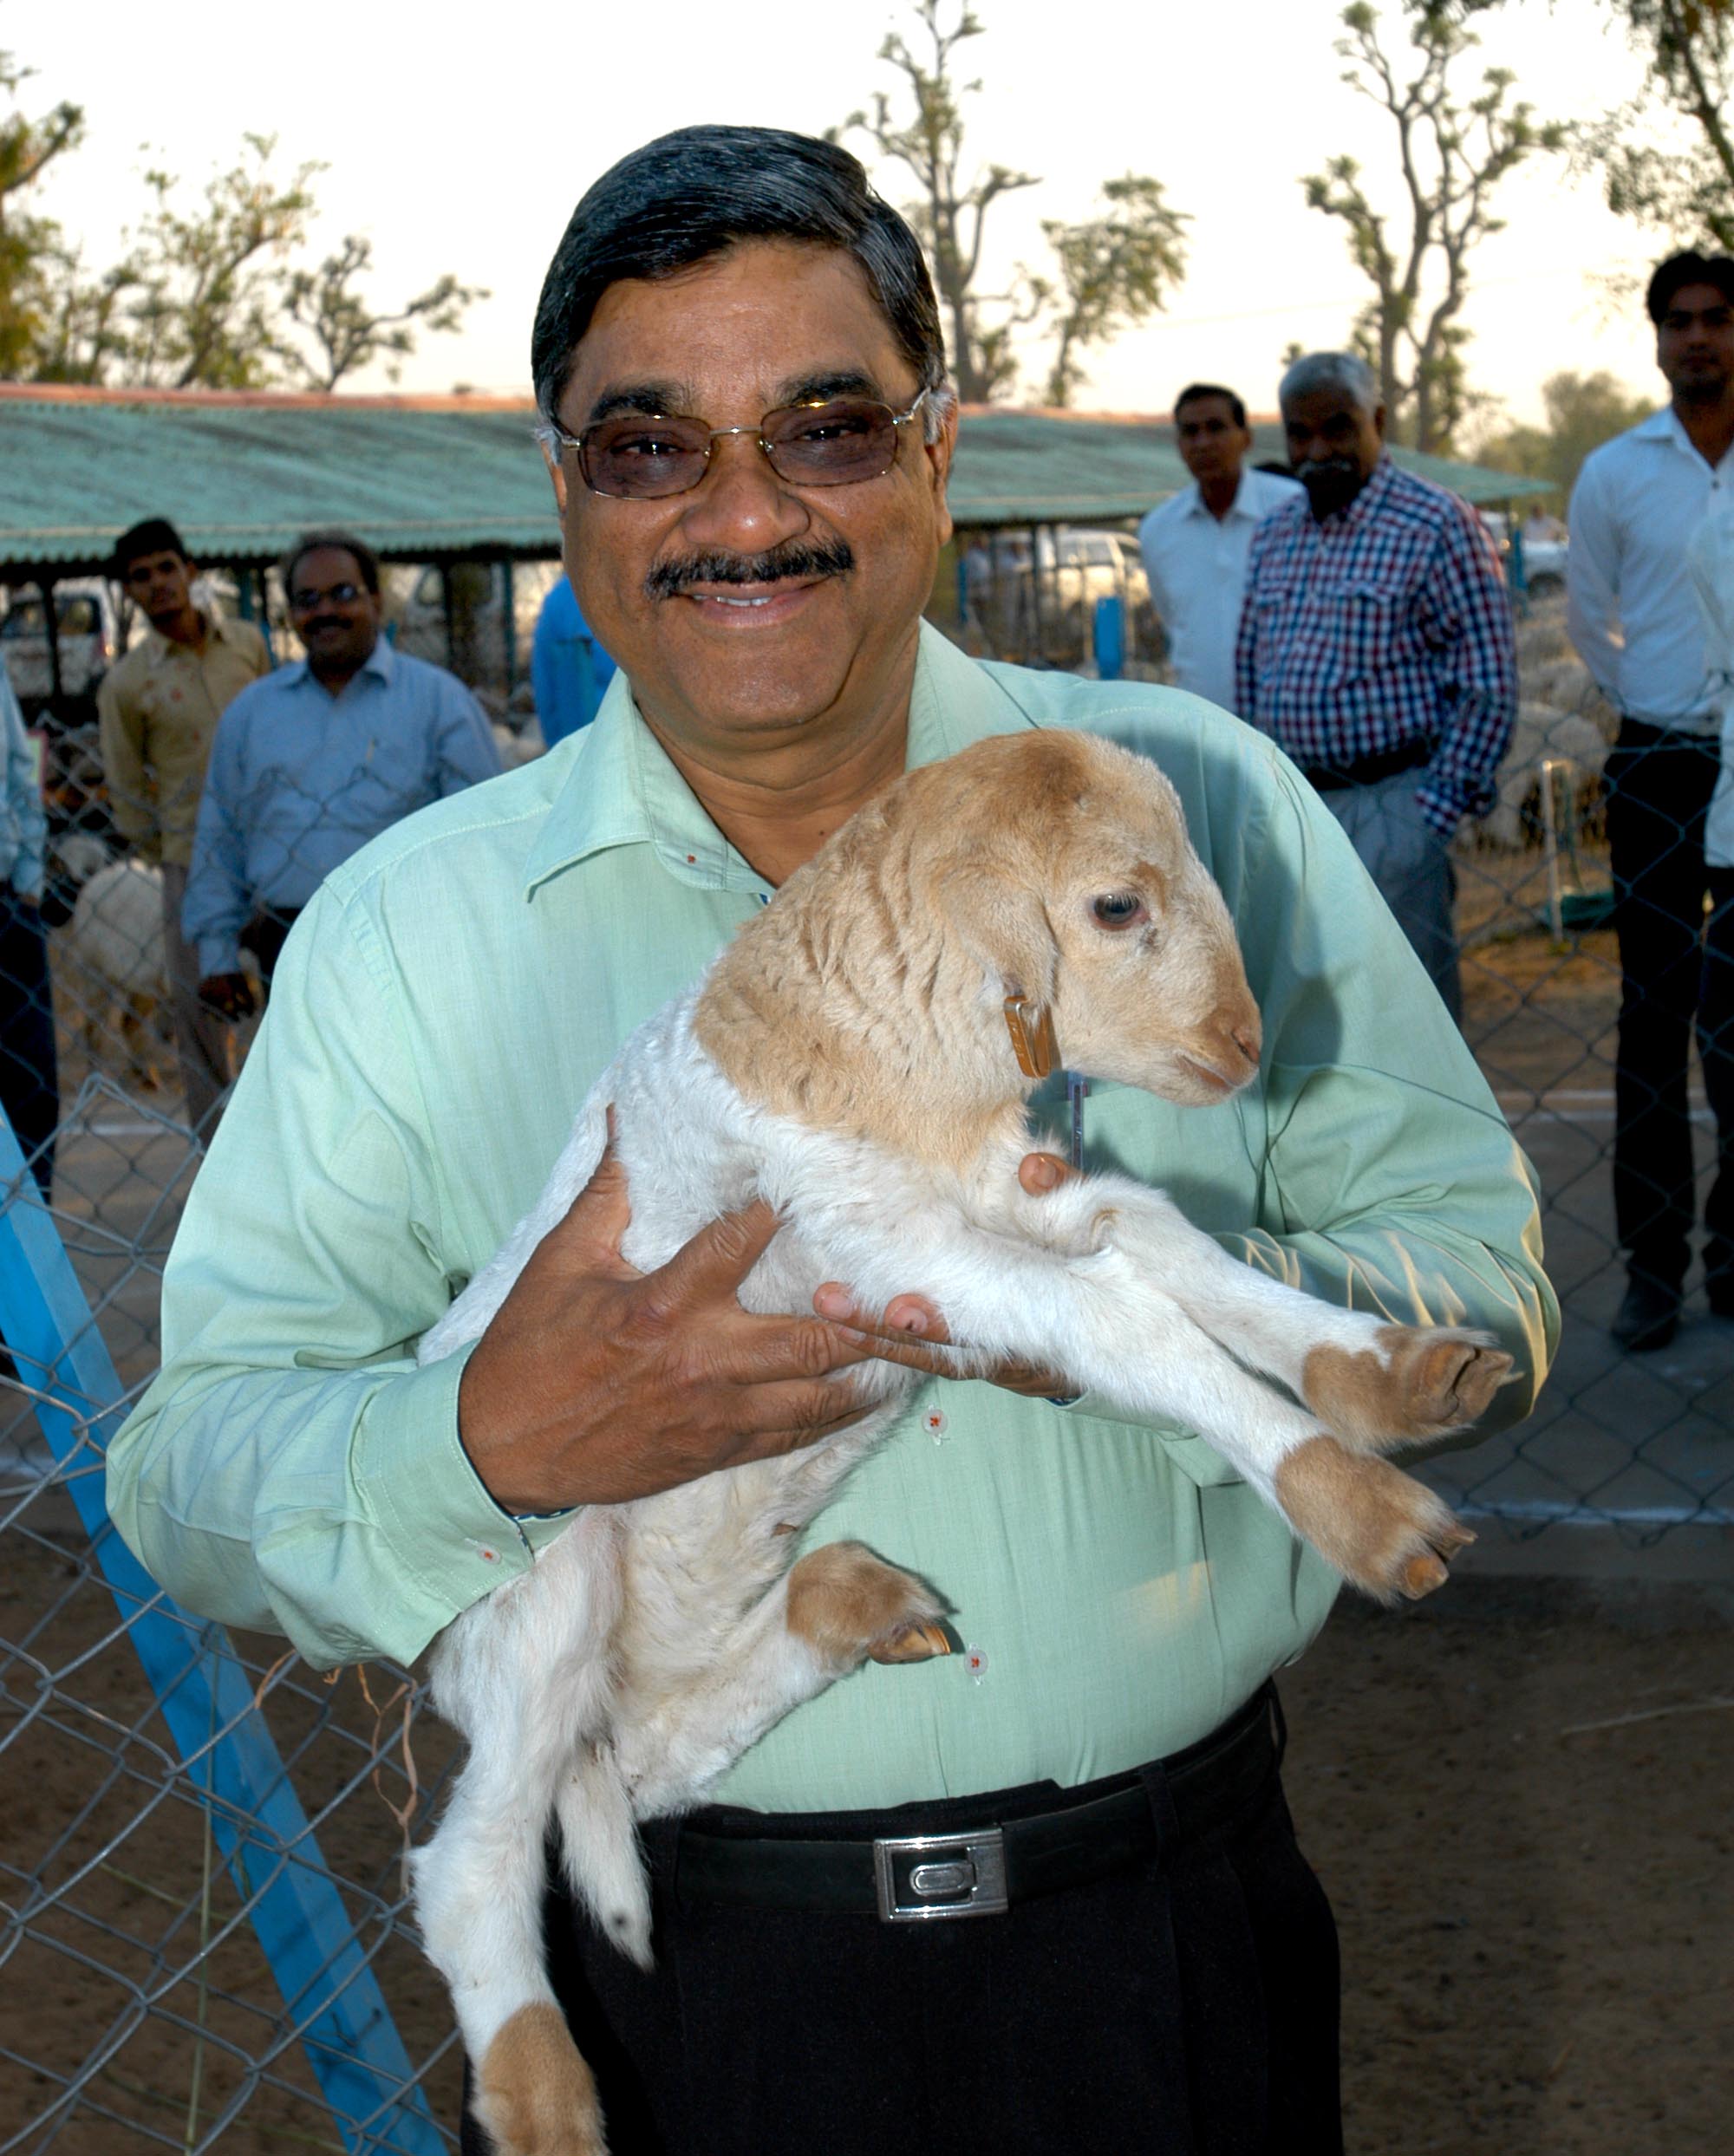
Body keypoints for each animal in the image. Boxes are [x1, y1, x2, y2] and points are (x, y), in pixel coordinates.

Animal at [414, 724, 1509, 2156]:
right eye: (1117, 905)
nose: (1245, 1041)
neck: (876, 1032)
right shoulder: (891, 1245)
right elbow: (1125, 1312)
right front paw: (1357, 1503)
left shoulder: (1017, 1197)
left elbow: (1166, 1241)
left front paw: (1390, 1373)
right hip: (542, 1589)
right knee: (474, 1855)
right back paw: (547, 2098)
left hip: (682, 1599)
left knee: (640, 1762)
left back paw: (853, 1602)